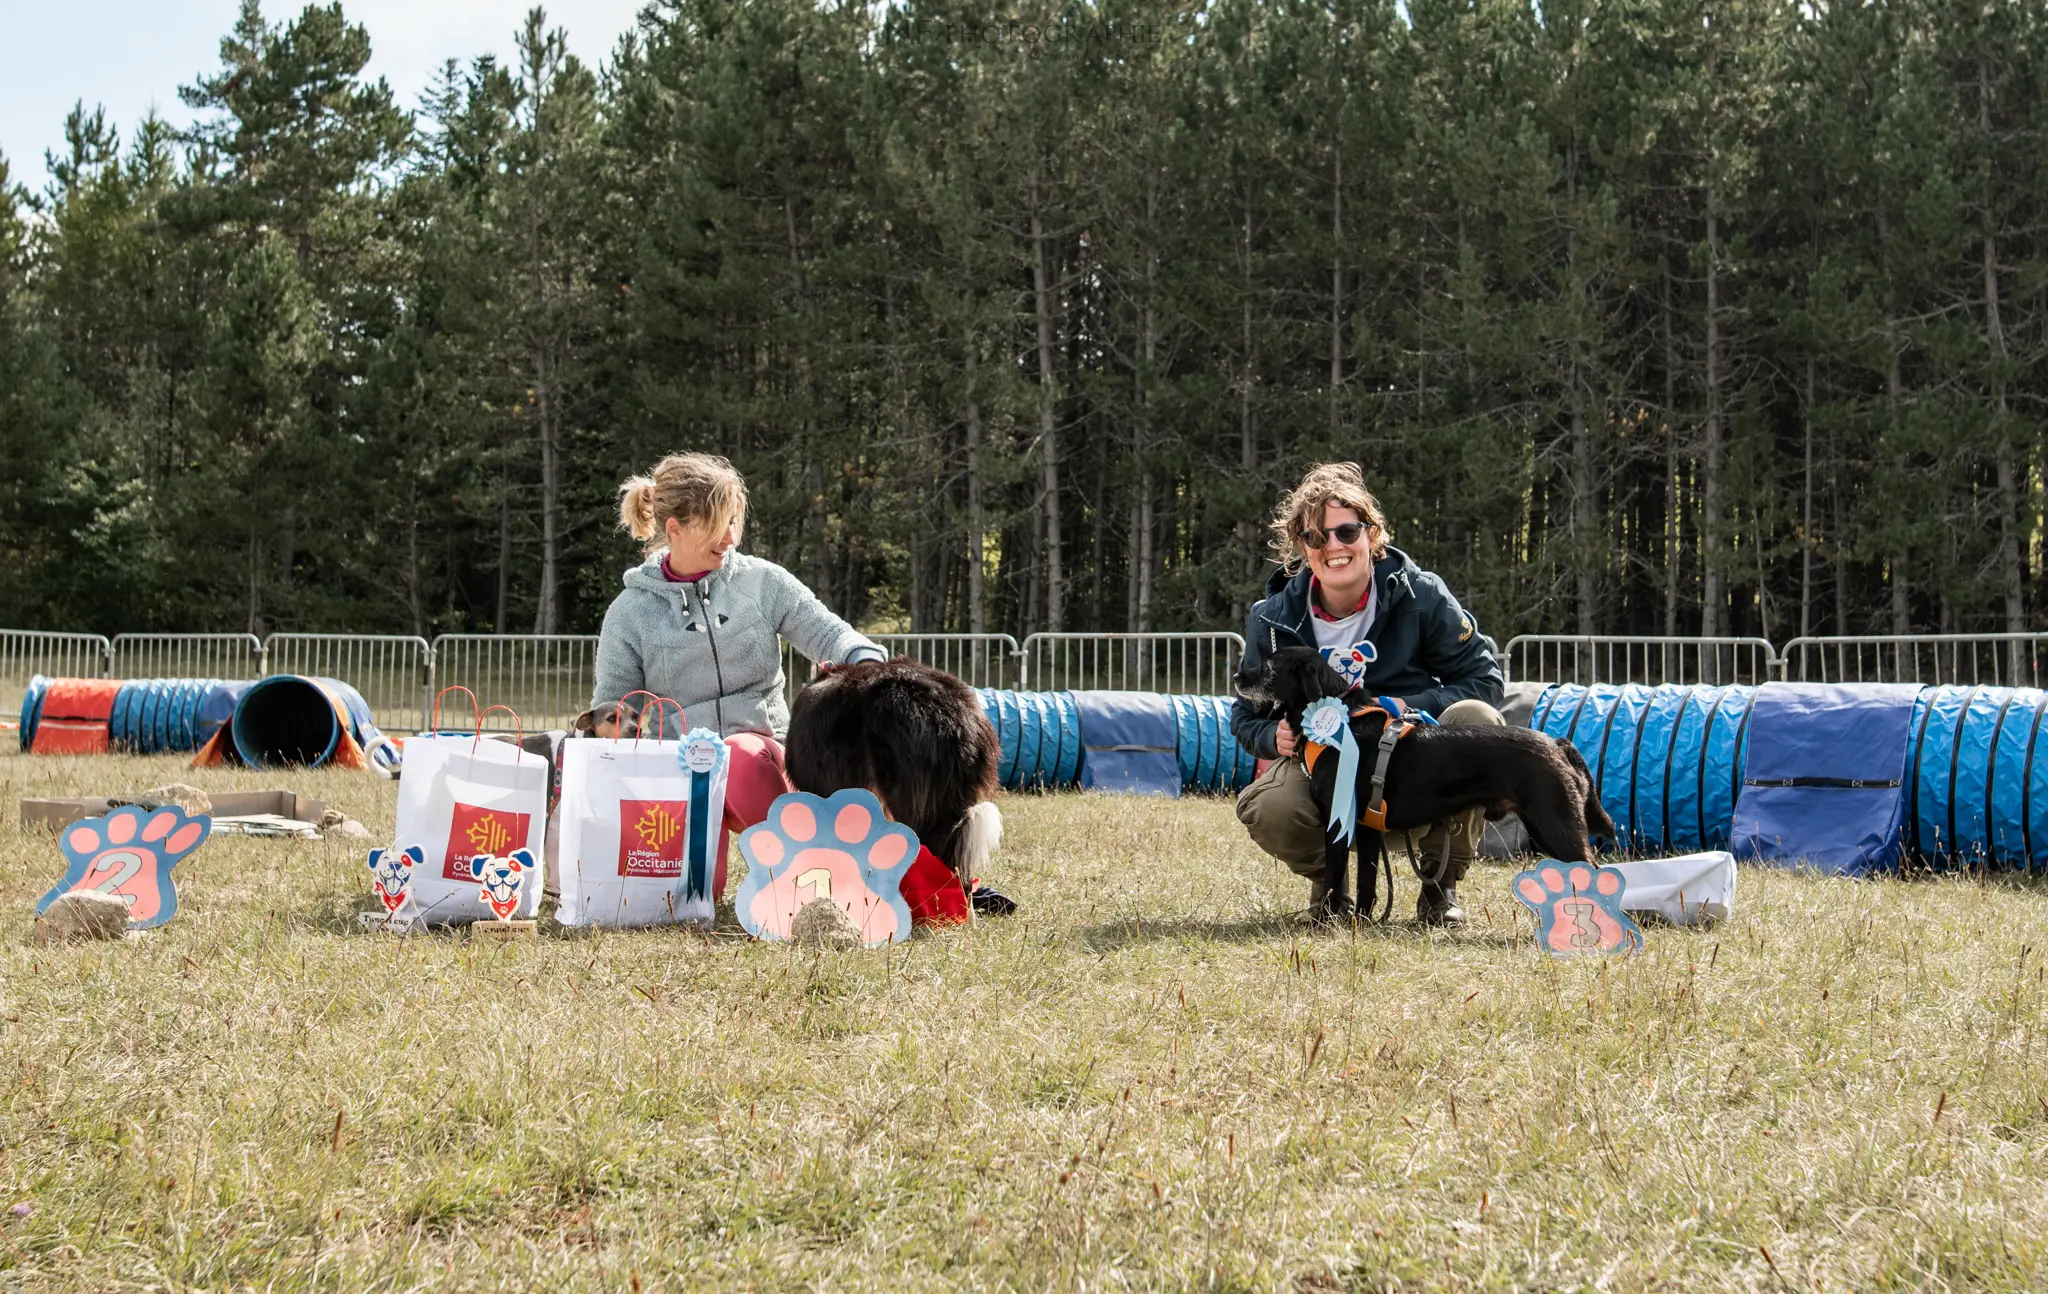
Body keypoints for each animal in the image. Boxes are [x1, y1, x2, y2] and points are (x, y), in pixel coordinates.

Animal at [1228, 647, 1613, 921]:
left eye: (1270, 666)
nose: (1236, 675)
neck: (1339, 719)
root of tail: (1557, 743)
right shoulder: (1366, 829)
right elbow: (1365, 884)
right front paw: (1359, 923)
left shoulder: (1342, 821)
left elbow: (1335, 877)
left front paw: (1326, 921)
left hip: (1556, 826)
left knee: (1595, 873)